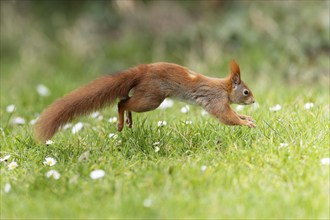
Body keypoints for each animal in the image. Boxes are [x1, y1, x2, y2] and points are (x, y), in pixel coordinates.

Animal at [34, 59, 255, 142]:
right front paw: (246, 123)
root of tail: (143, 71)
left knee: (125, 99)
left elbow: (233, 113)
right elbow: (227, 117)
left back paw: (128, 120)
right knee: (122, 102)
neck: (224, 88)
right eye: (246, 92)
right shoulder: (216, 100)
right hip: (151, 98)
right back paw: (122, 123)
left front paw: (247, 118)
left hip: (147, 96)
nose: (253, 101)